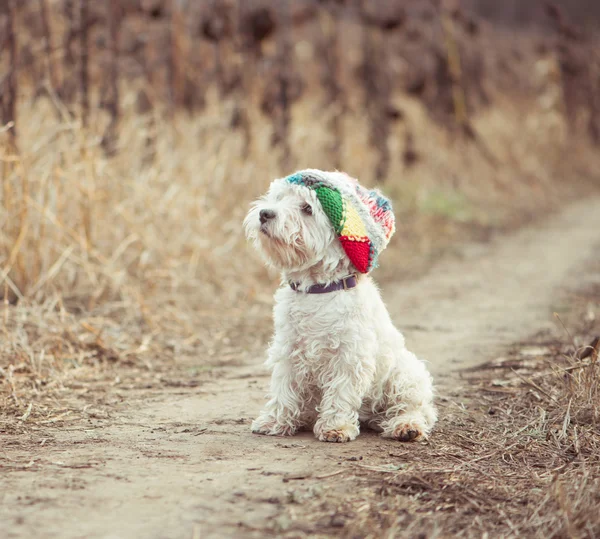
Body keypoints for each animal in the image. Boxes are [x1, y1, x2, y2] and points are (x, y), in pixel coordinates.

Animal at [244, 170, 436, 442]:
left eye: (307, 208)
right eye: (279, 198)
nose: (265, 213)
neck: (318, 289)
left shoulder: (350, 355)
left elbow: (340, 394)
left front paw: (336, 428)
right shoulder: (288, 350)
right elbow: (284, 388)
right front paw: (274, 421)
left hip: (405, 374)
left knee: (416, 408)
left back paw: (406, 427)